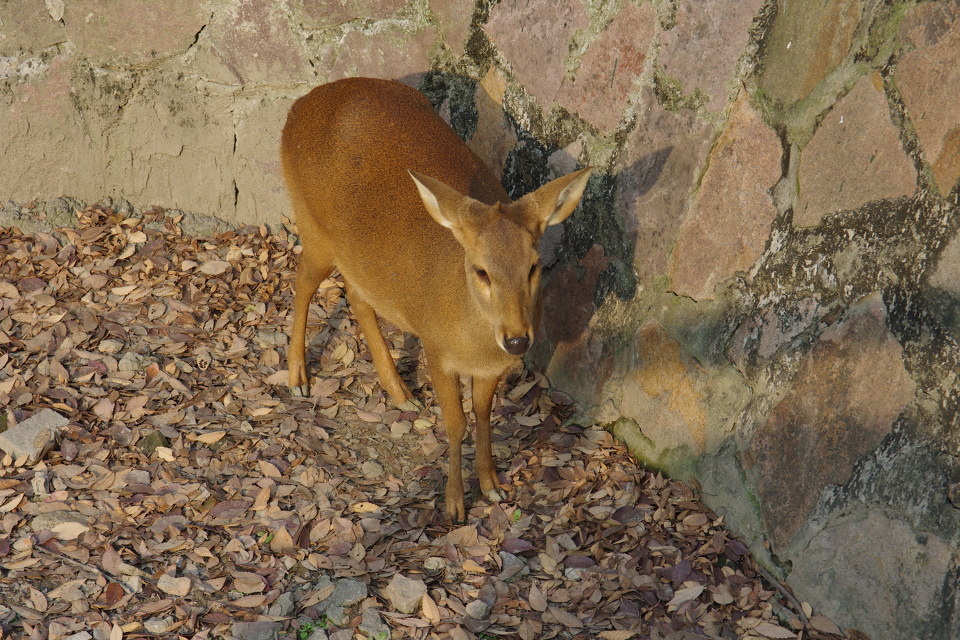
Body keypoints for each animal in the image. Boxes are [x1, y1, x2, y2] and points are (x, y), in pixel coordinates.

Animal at [281, 77, 592, 521]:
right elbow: (456, 422)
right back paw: (298, 379)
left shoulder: (490, 367)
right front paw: (455, 503)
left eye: (534, 265)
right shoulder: (436, 347)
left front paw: (492, 486)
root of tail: (300, 105)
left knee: (357, 295)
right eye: (481, 270)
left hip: (357, 255)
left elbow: (482, 414)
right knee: (303, 281)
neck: (473, 337)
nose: (518, 339)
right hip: (312, 223)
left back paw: (399, 392)